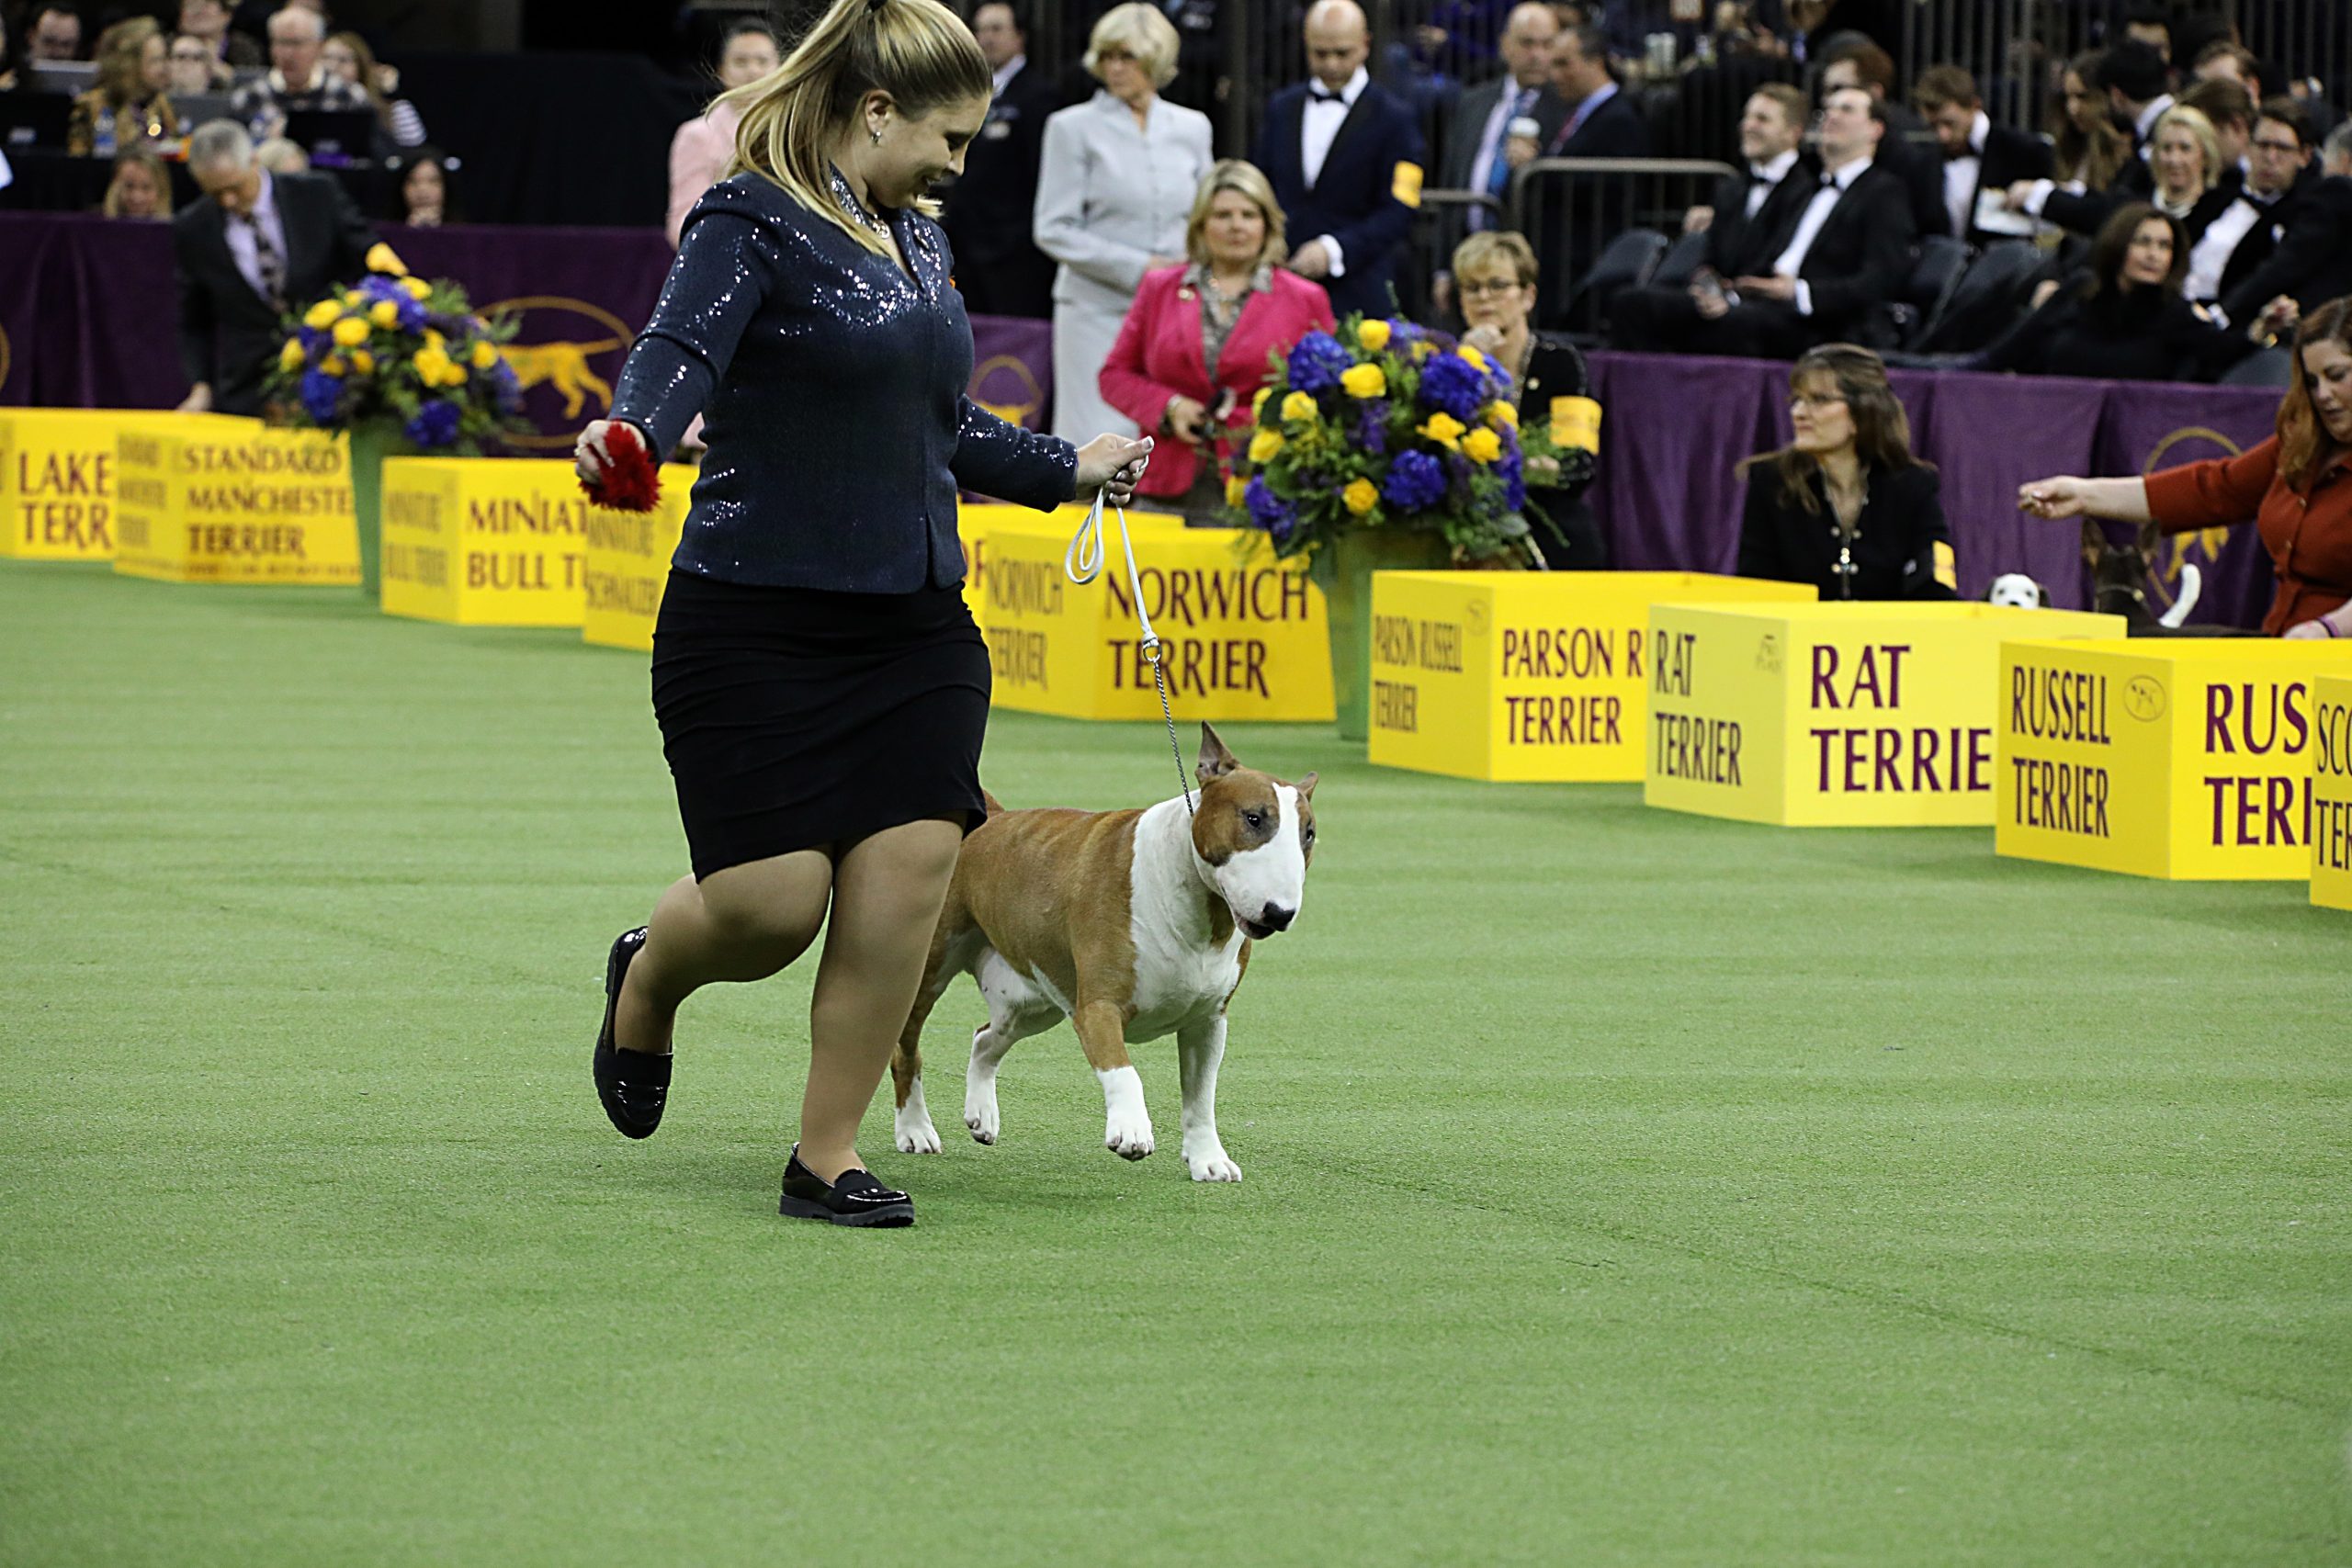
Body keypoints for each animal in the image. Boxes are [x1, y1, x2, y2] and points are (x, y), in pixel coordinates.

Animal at [888, 728, 1317, 1184]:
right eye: (1253, 818)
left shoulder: (1208, 1021)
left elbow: (1202, 1096)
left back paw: (981, 1115)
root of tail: (990, 819)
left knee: (986, 1037)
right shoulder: (1099, 1007)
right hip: (929, 970)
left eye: (1309, 833)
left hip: (1034, 1000)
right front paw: (1131, 1131)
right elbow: (1124, 1072)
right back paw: (915, 1130)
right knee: (906, 1050)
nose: (1280, 913)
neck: (1200, 910)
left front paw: (1209, 1159)